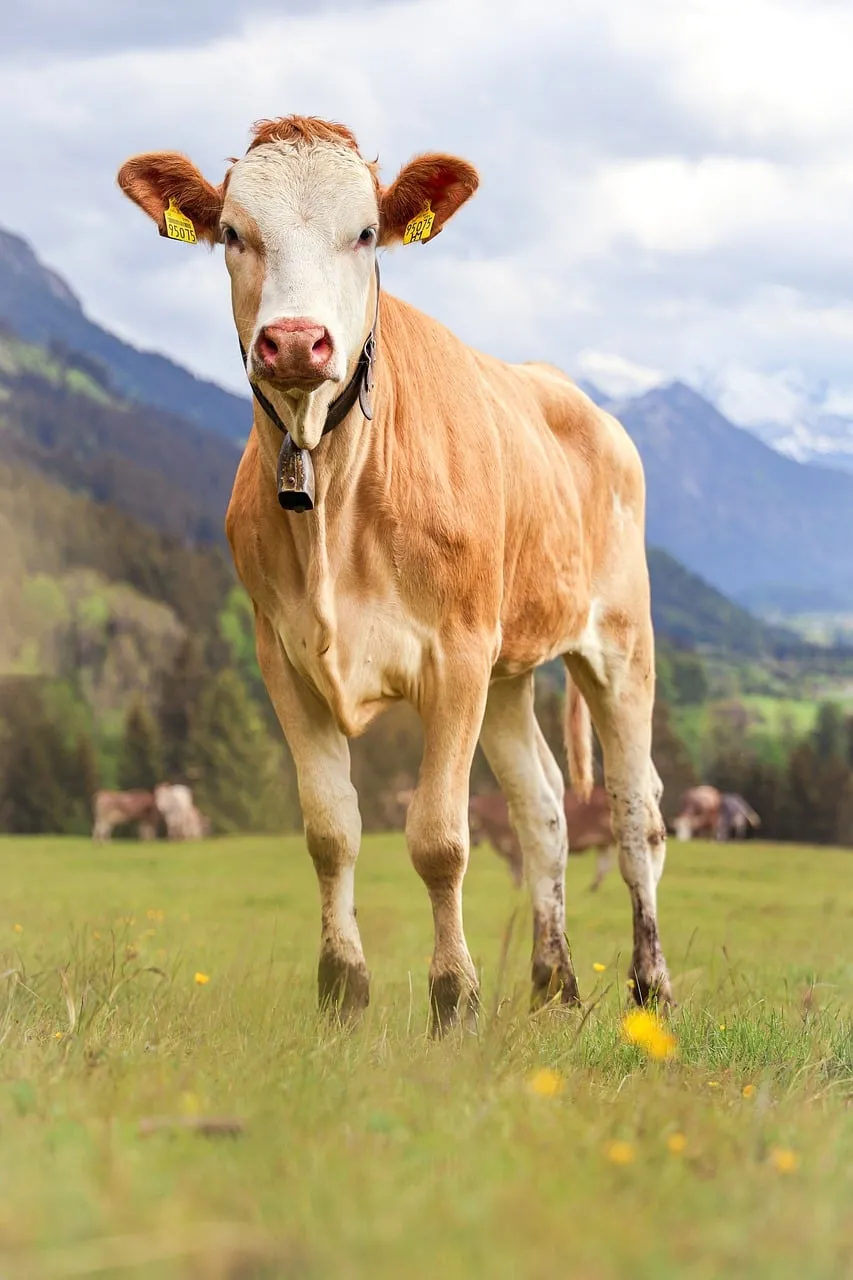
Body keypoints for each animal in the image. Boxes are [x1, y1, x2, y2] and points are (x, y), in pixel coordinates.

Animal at [470, 787, 616, 891]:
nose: (474, 842)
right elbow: (513, 872)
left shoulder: (517, 848)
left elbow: (519, 872)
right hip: (604, 842)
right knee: (603, 863)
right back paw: (592, 887)